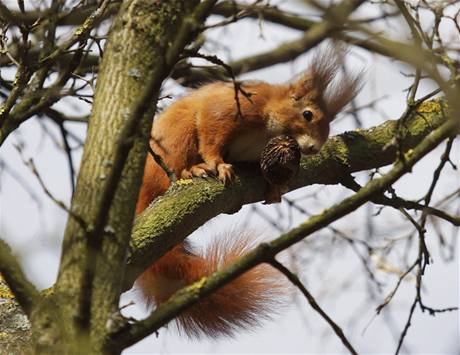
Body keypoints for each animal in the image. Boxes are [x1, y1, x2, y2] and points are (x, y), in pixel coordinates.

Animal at [135, 47, 362, 340]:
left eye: (331, 122)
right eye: (307, 114)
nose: (314, 148)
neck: (268, 127)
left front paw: (274, 186)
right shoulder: (232, 108)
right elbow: (211, 133)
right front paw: (217, 164)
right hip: (176, 136)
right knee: (173, 166)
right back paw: (191, 170)